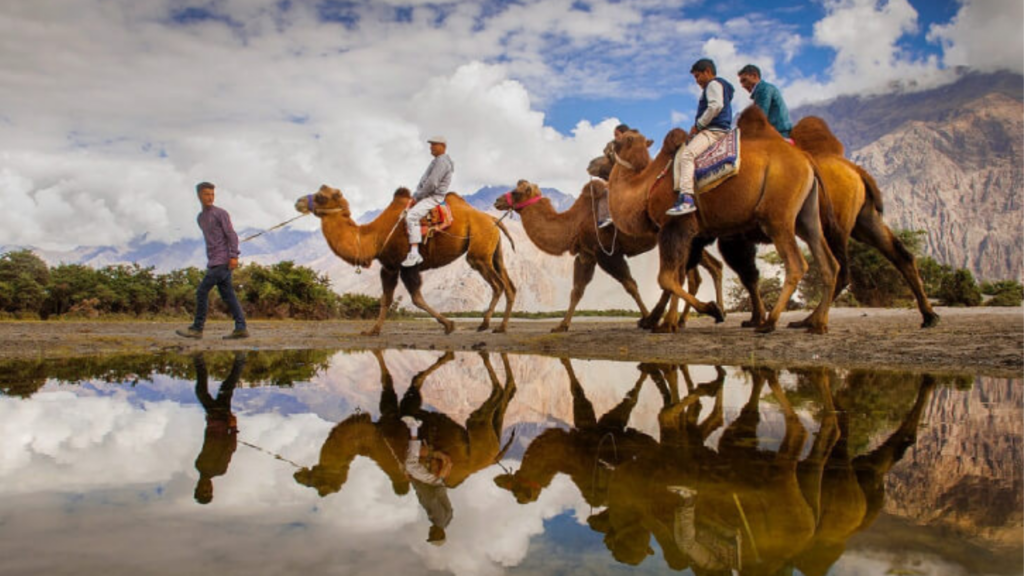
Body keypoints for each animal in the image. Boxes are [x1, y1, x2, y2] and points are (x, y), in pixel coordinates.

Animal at [299, 183, 520, 336]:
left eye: (320, 196)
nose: (298, 202)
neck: (374, 237)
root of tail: (492, 219)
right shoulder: (389, 266)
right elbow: (386, 299)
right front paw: (372, 331)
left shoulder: (406, 266)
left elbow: (416, 298)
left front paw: (449, 324)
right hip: (494, 252)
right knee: (509, 285)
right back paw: (500, 327)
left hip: (478, 254)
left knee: (498, 284)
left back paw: (486, 324)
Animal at [786, 115, 937, 327]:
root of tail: (856, 170)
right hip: (865, 219)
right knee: (901, 254)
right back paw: (929, 316)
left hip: (834, 223)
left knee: (840, 270)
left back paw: (811, 320)